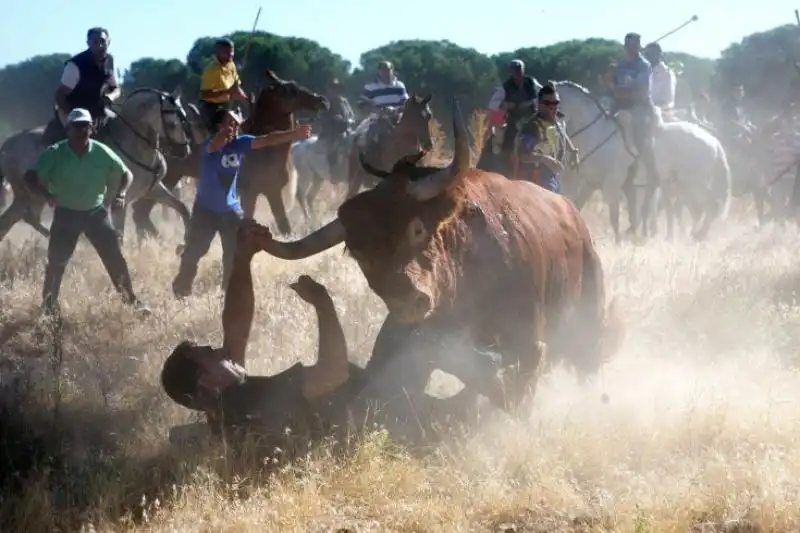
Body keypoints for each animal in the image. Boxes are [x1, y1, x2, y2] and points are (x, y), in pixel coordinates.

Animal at [260, 98, 616, 416]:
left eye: (418, 229)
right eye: (358, 252)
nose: (407, 301)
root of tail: (576, 220)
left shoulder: (528, 344)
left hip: (588, 324)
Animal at [556, 80, 732, 241]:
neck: (597, 133)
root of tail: (715, 142)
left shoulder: (612, 185)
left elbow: (615, 217)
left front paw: (619, 241)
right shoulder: (591, 183)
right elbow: (577, 207)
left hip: (693, 183)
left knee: (710, 206)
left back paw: (697, 236)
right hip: (682, 186)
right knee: (695, 210)